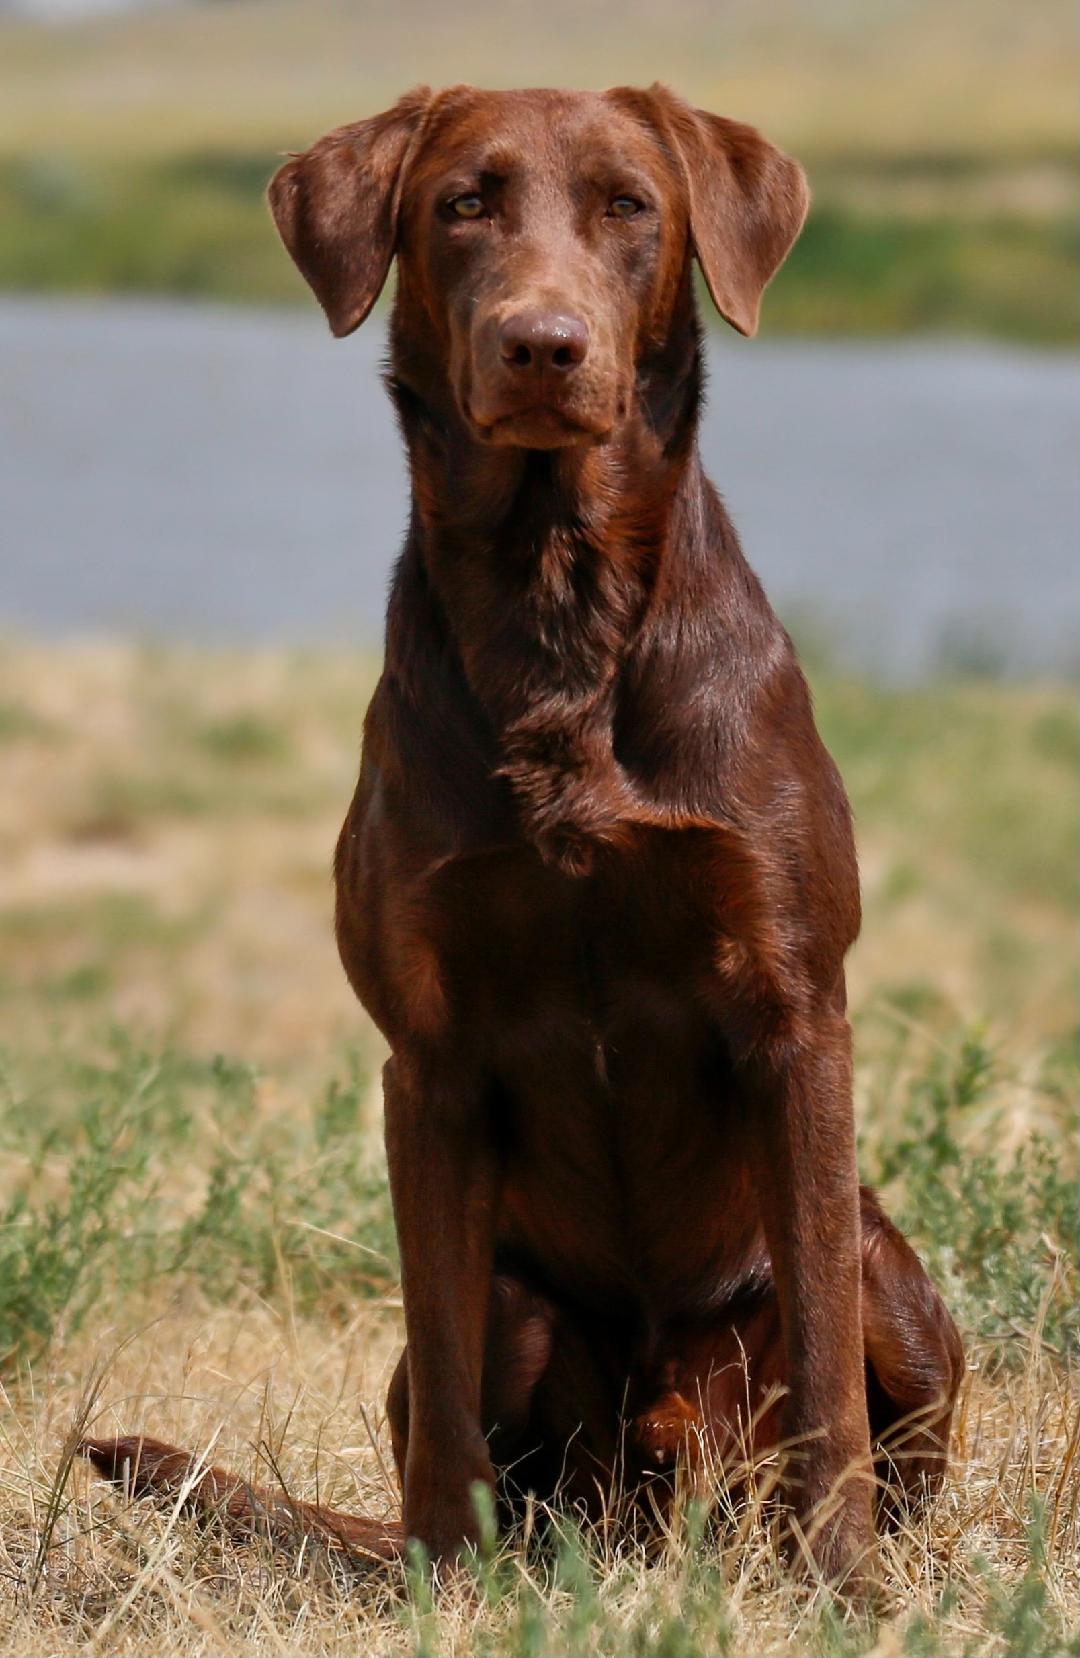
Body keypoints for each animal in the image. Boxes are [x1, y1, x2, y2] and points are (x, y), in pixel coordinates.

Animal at [84, 84, 962, 1585]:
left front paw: (843, 1581)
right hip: (523, 1302)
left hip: (896, 1276)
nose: (543, 345)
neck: (559, 607)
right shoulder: (427, 1057)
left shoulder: (798, 1009)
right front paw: (443, 1581)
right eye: (463, 204)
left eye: (629, 205)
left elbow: (828, 1373)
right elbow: (443, 1375)